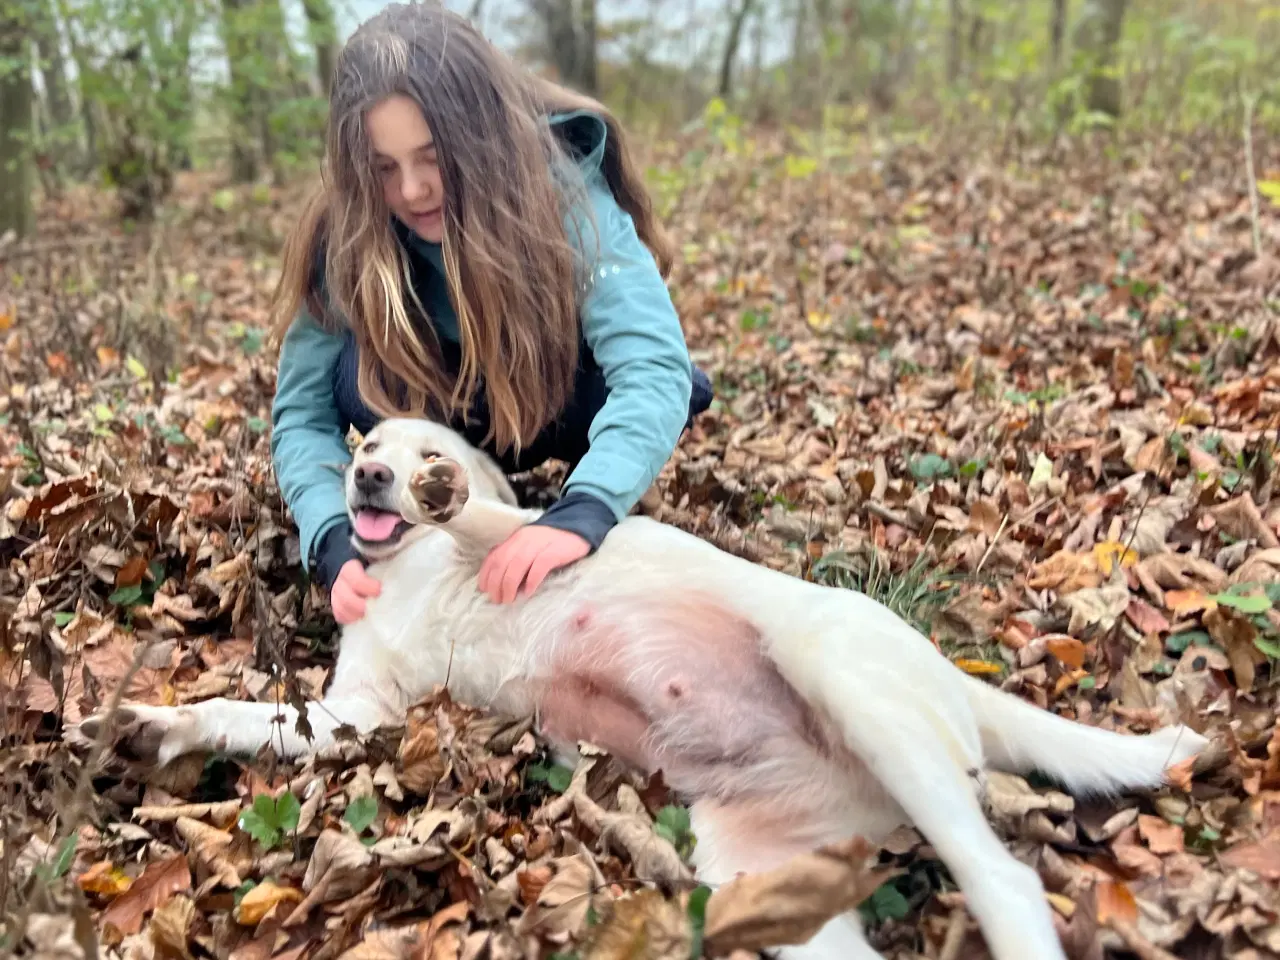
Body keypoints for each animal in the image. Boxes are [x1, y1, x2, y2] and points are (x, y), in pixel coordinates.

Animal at [80, 419, 1208, 960]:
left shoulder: (508, 532)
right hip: (756, 874)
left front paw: (450, 495)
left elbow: (497, 513)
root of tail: (958, 684)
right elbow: (239, 716)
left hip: (847, 684)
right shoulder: (354, 715)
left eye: (424, 448)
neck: (402, 574)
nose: (370, 478)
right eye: (363, 449)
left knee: (1004, 880)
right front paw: (156, 727)